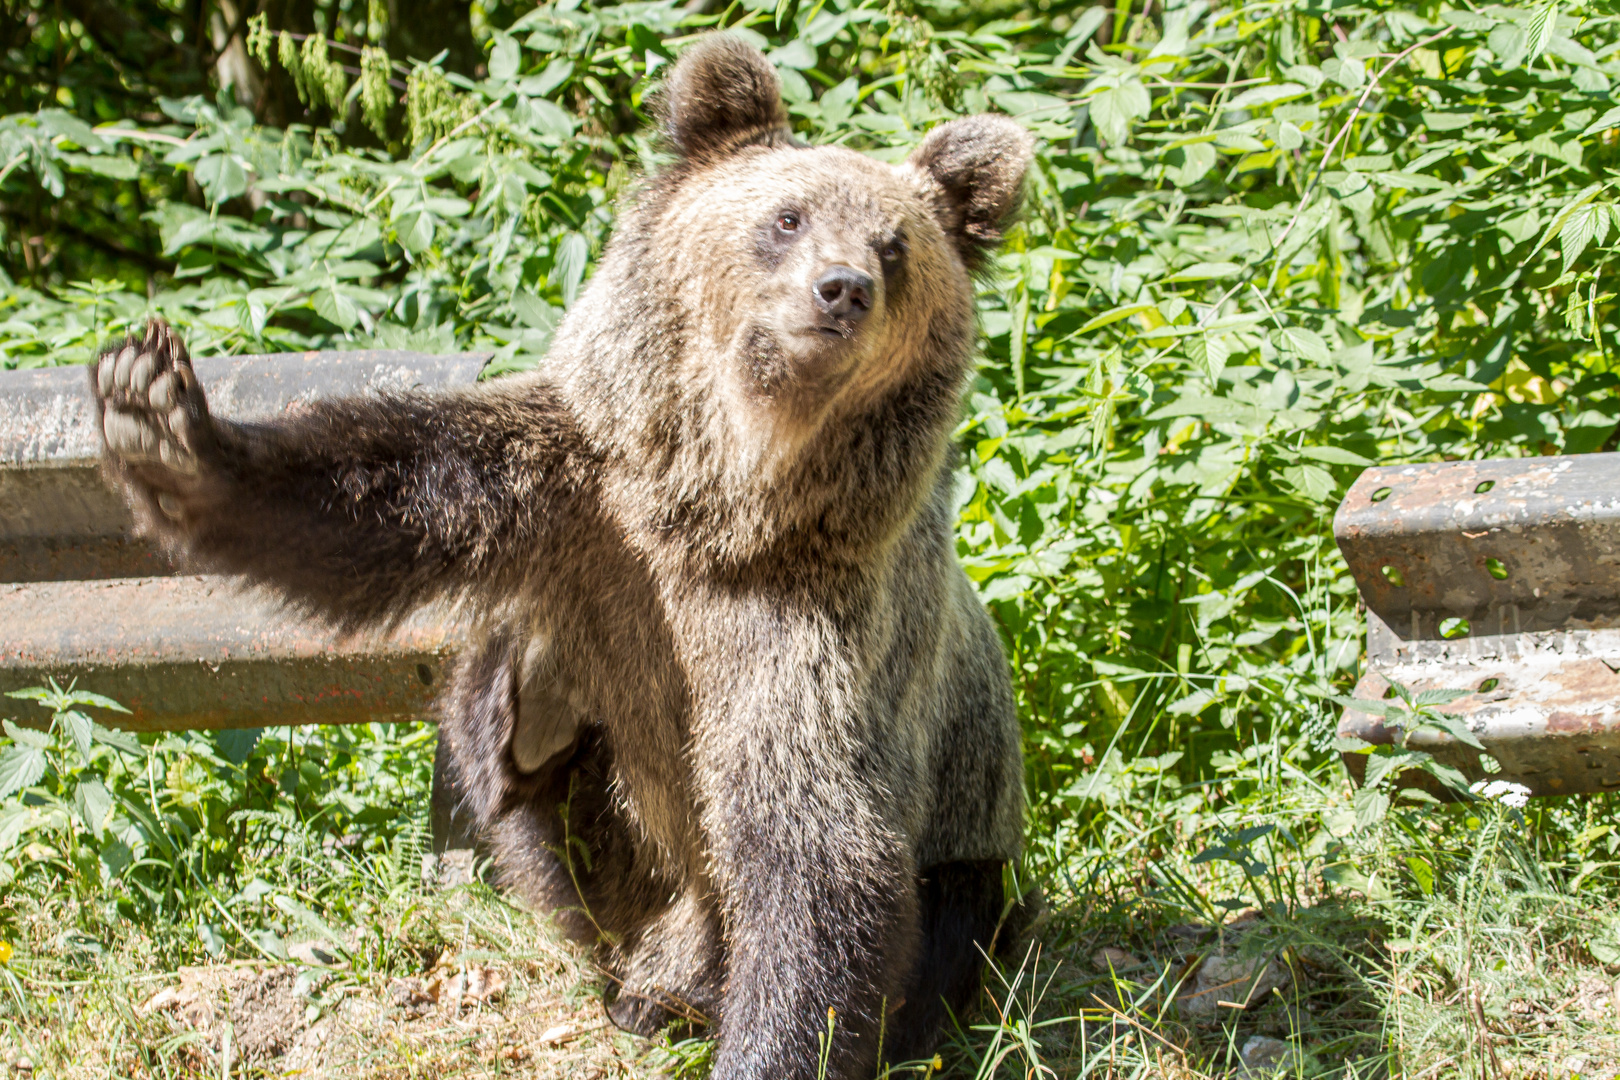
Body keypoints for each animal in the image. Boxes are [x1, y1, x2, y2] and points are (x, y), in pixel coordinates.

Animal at [94, 33, 1036, 1080]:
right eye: (786, 216)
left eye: (896, 246)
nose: (843, 289)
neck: (720, 501)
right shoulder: (584, 493)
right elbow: (385, 490)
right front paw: (162, 419)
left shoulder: (810, 617)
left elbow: (815, 848)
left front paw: (775, 1043)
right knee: (524, 770)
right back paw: (542, 756)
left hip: (963, 844)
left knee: (937, 929)